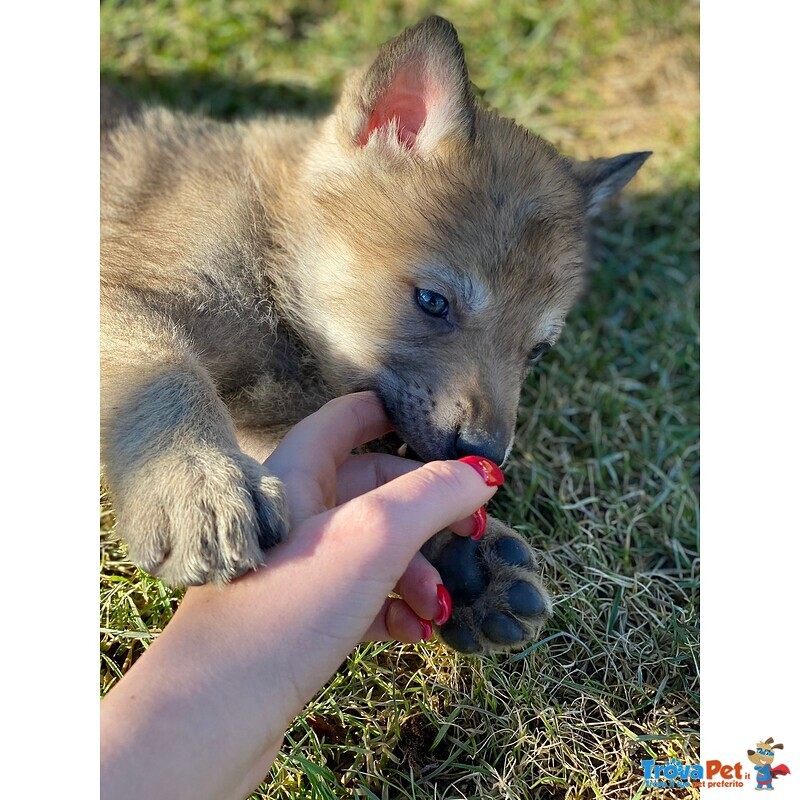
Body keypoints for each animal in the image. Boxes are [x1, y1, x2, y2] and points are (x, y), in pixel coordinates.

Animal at [101, 15, 648, 652]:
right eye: (433, 301)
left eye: (538, 349)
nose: (487, 454)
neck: (270, 249)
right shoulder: (132, 296)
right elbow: (165, 378)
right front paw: (198, 484)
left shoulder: (270, 422)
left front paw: (469, 560)